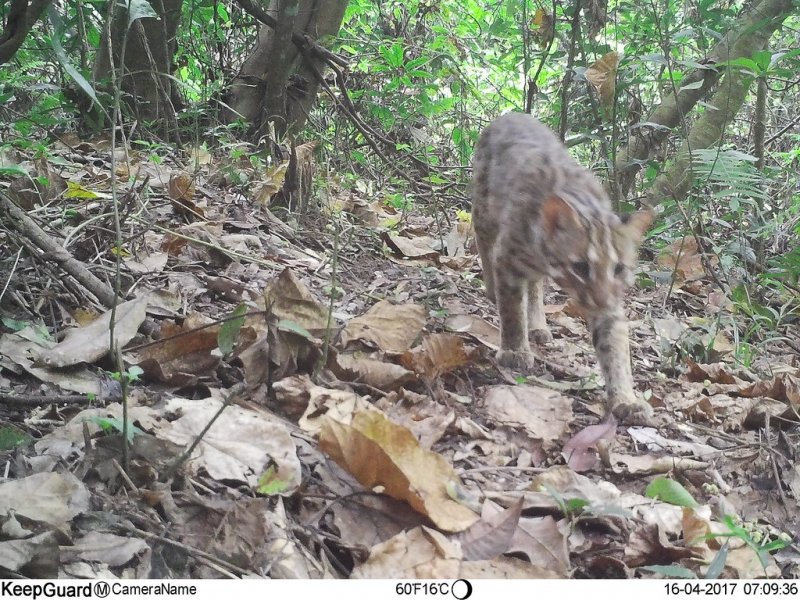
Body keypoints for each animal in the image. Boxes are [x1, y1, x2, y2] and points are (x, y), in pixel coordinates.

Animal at [472, 112, 652, 422]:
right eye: (580, 266)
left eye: (618, 269)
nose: (600, 299)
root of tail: (511, 114)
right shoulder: (507, 259)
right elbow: (511, 311)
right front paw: (514, 350)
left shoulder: (611, 302)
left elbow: (613, 345)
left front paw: (625, 398)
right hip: (484, 212)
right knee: (483, 243)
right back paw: (492, 289)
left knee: (534, 285)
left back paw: (538, 324)